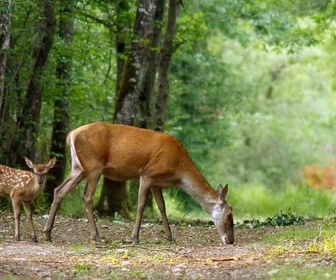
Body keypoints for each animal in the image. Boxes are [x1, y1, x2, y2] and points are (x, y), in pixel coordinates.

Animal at [43, 121, 235, 244]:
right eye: (229, 214)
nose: (231, 241)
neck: (178, 171)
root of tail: (71, 135)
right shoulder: (147, 174)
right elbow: (141, 205)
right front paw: (134, 238)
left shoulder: (157, 182)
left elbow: (162, 207)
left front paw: (170, 237)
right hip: (94, 166)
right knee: (87, 197)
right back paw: (96, 237)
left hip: (78, 168)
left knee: (59, 190)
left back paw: (47, 234)